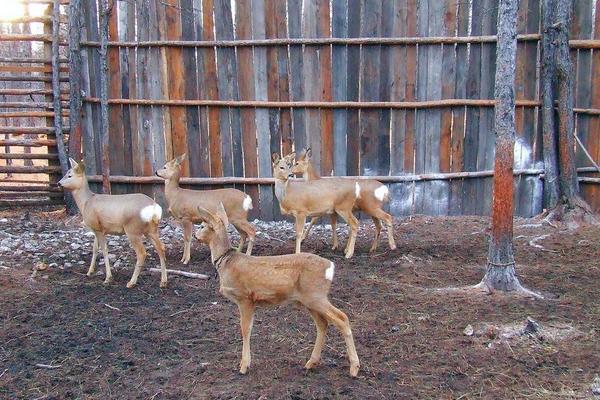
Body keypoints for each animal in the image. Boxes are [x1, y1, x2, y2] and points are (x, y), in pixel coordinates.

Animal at [57, 157, 168, 288]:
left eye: (69, 175)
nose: (58, 183)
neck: (86, 202)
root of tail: (155, 208)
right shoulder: (97, 228)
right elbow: (94, 249)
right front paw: (89, 272)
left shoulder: (98, 229)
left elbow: (104, 250)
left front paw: (108, 278)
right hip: (151, 229)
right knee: (161, 247)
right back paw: (163, 281)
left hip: (132, 229)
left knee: (142, 253)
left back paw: (131, 282)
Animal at [195, 205, 360, 376]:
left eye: (202, 226)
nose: (195, 235)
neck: (226, 263)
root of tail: (330, 267)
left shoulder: (245, 297)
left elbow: (245, 329)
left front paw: (244, 366)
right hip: (308, 299)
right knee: (323, 324)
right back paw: (311, 363)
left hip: (316, 295)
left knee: (342, 318)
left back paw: (354, 367)